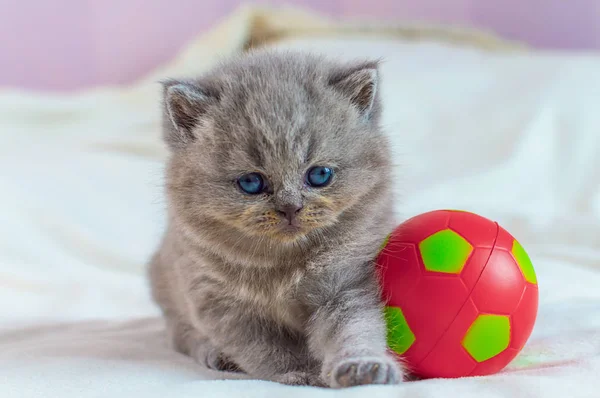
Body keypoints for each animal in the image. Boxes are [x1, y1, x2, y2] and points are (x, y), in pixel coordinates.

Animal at [148, 48, 406, 388]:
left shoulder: (347, 284)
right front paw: (299, 373)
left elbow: (355, 328)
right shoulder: (220, 302)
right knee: (181, 335)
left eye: (320, 175)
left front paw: (363, 366)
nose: (290, 207)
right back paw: (216, 355)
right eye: (251, 183)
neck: (284, 265)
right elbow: (266, 348)